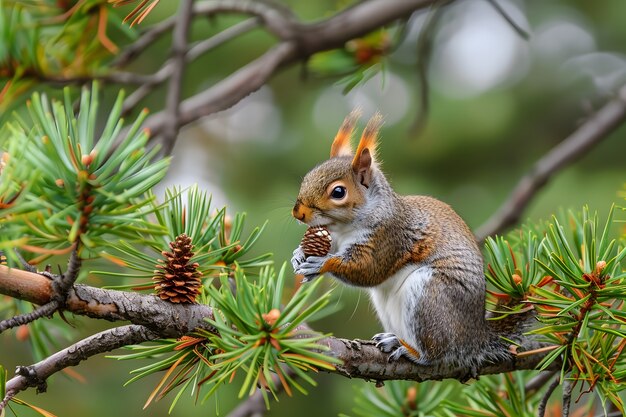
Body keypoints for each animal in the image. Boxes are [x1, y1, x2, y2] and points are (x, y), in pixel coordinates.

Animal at [290, 109, 510, 370]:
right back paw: (393, 338)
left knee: (437, 353)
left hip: (431, 299)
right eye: (307, 177)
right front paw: (298, 255)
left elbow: (369, 270)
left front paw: (322, 263)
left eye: (338, 192)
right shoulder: (334, 238)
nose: (298, 213)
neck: (344, 229)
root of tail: (477, 337)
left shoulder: (390, 238)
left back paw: (411, 351)